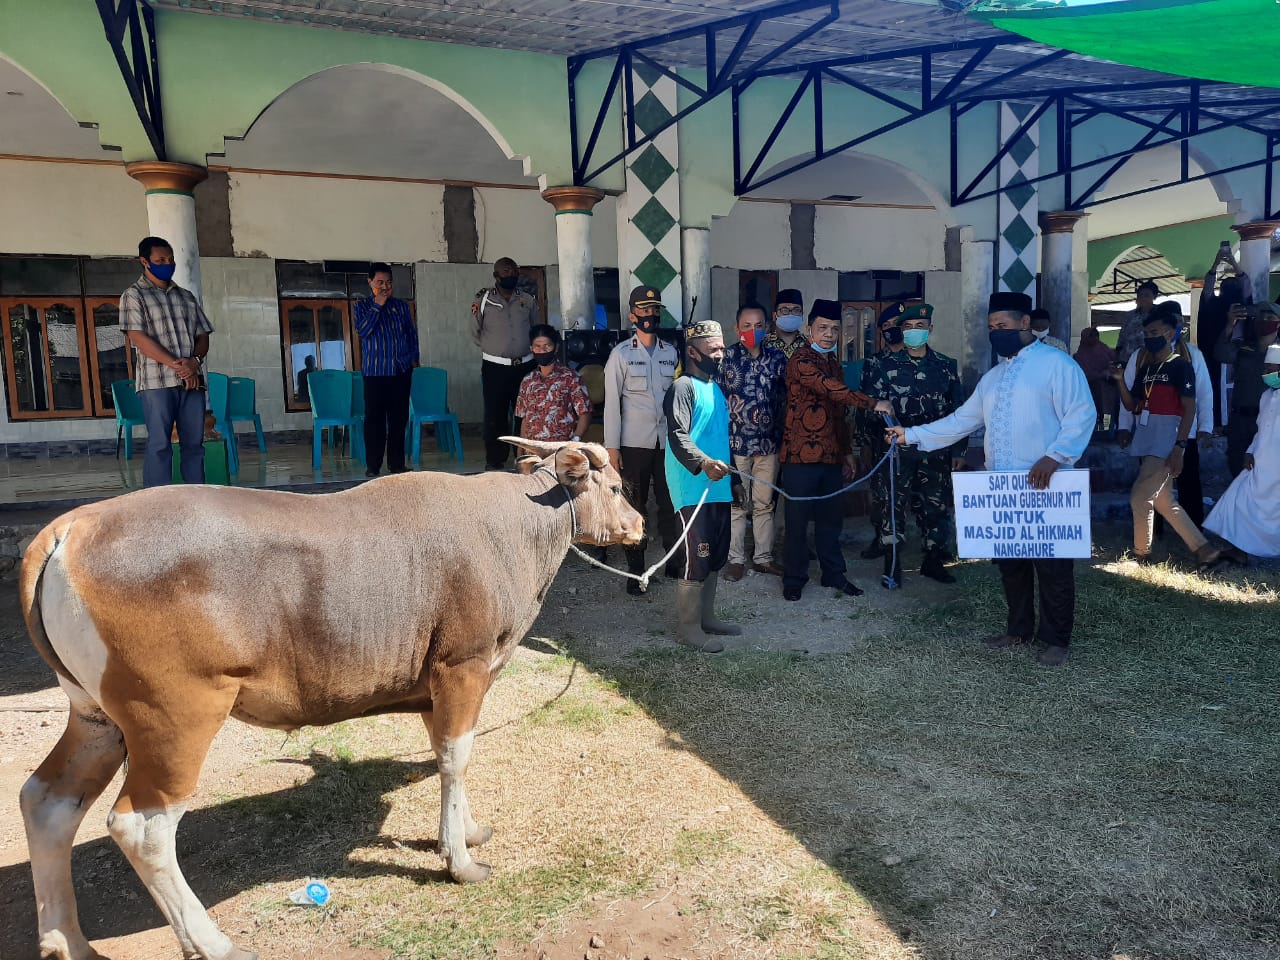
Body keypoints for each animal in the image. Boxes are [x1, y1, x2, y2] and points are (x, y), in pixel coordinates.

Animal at [17, 442, 637, 960]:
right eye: (615, 486)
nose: (638, 524)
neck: (512, 527)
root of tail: (69, 529)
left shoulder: (436, 689)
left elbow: (445, 757)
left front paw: (464, 830)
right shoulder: (463, 669)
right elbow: (457, 757)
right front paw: (460, 861)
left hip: (96, 717)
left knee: (47, 802)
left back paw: (68, 940)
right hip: (174, 718)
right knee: (142, 827)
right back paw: (214, 943)